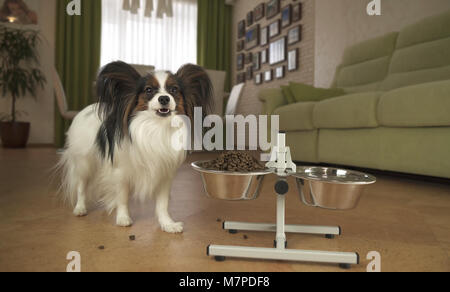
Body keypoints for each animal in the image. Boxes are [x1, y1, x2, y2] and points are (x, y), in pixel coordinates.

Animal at [59, 61, 214, 233]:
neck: (156, 127)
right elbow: (122, 197)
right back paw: (80, 208)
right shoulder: (120, 173)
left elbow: (162, 204)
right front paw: (123, 218)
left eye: (174, 90)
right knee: (81, 186)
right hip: (84, 163)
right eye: (148, 90)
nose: (164, 98)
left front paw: (168, 224)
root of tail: (85, 110)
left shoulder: (164, 174)